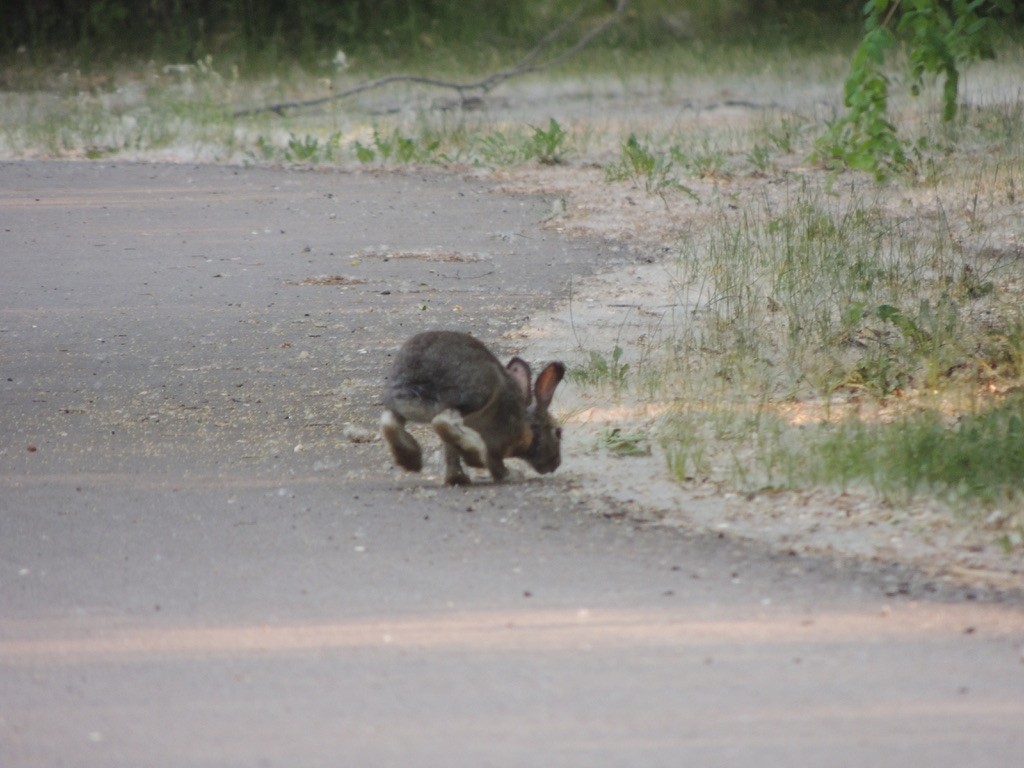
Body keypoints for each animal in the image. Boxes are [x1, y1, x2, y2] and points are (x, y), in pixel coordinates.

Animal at [380, 330, 565, 485]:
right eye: (558, 432)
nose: (556, 464)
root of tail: (416, 382)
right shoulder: (499, 443)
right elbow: (494, 463)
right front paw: (512, 476)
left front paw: (457, 479)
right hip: (473, 397)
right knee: (442, 421)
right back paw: (473, 454)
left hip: (398, 403)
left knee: (389, 422)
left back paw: (410, 460)